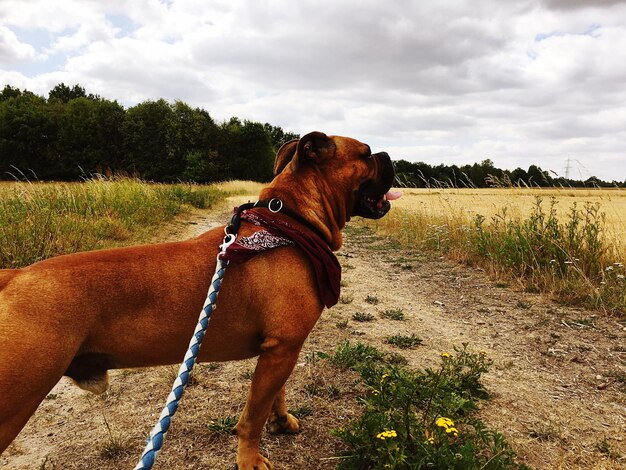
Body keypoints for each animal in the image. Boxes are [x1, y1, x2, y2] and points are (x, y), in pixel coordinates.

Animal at [0, 130, 398, 468]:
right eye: (365, 153)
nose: (388, 154)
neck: (290, 223)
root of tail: (13, 276)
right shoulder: (281, 349)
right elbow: (252, 418)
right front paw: (250, 460)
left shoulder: (282, 350)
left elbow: (277, 395)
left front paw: (282, 421)